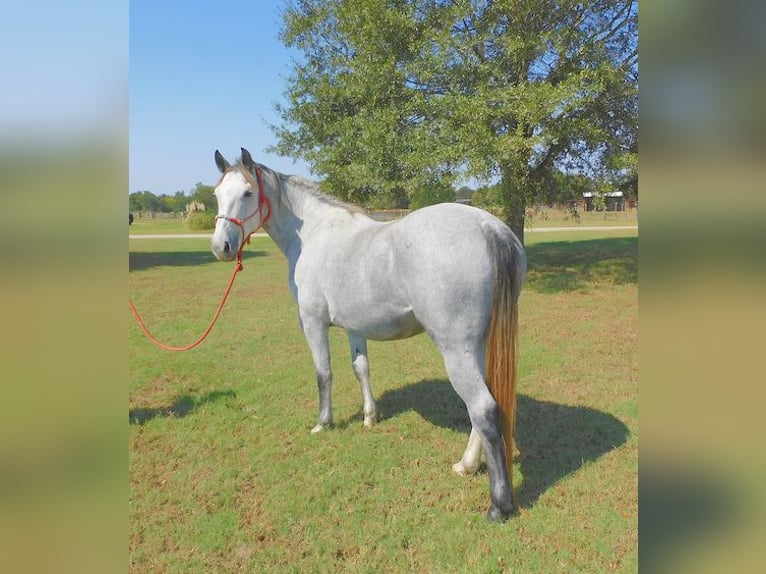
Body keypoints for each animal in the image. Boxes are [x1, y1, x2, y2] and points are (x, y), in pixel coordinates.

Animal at [210, 148, 528, 520]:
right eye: (217, 194)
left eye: (247, 193)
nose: (221, 247)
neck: (314, 234)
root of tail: (488, 226)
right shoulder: (354, 327)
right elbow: (360, 368)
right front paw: (369, 417)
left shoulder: (312, 322)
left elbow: (324, 374)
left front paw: (324, 423)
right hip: (478, 344)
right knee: (486, 405)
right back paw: (466, 465)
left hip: (456, 349)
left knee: (483, 409)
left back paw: (499, 506)